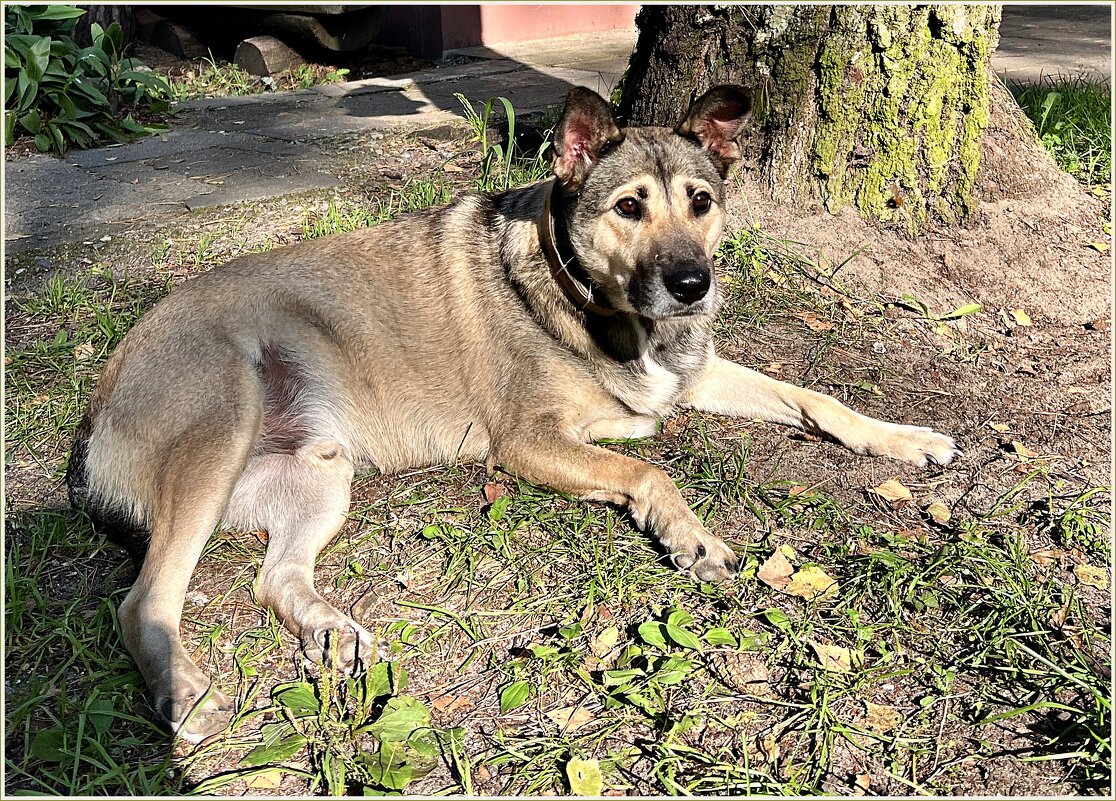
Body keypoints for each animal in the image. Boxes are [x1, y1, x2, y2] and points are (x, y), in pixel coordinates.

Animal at [67, 86, 959, 740]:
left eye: (701, 201)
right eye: (628, 208)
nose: (693, 285)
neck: (593, 300)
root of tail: (102, 397)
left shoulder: (694, 374)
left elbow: (816, 397)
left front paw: (905, 438)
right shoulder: (528, 442)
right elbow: (645, 466)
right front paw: (690, 534)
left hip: (322, 474)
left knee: (274, 578)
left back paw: (332, 629)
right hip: (223, 425)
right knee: (143, 600)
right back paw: (184, 690)